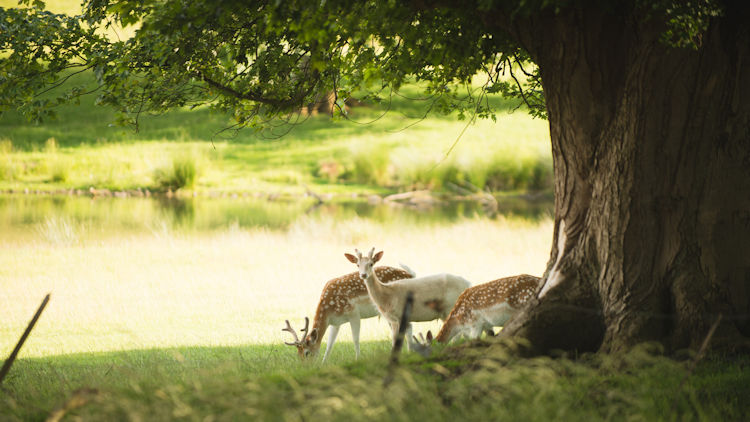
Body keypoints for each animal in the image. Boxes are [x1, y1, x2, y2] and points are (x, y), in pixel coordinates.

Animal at [282, 265, 415, 362]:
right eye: (298, 354)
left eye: (307, 352)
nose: (306, 367)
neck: (329, 309)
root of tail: (410, 275)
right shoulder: (335, 322)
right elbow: (330, 344)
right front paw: (323, 363)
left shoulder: (353, 313)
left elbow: (355, 339)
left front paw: (357, 359)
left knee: (407, 327)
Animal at [411, 274, 541, 356]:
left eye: (425, 350)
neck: (458, 321)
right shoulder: (486, 325)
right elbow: (489, 337)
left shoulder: (475, 323)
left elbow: (473, 342)